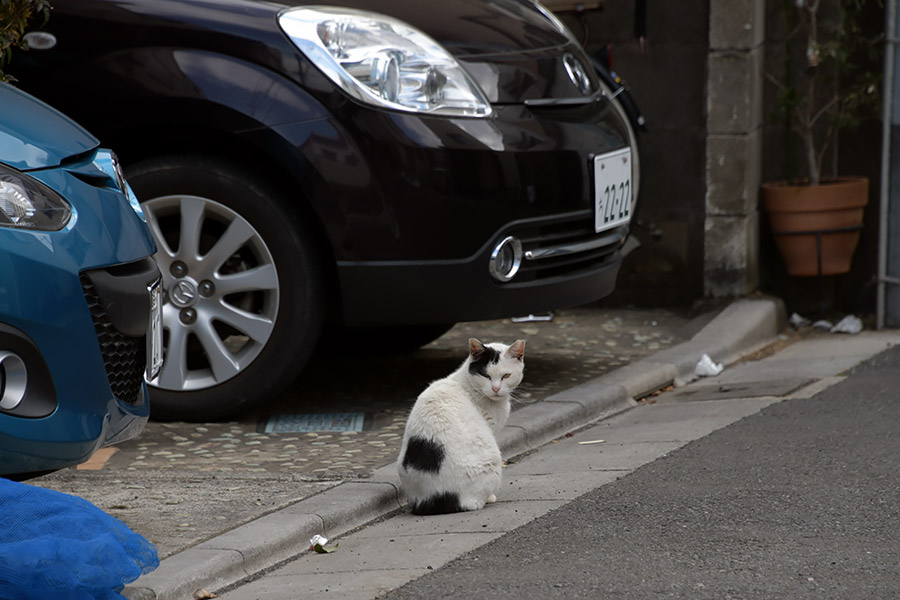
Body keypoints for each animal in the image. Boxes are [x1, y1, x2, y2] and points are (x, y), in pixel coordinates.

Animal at [396, 338, 528, 516]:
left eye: (506, 375)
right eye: (486, 375)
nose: (495, 389)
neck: (467, 383)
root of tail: (430, 500)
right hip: (492, 461)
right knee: (472, 503)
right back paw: (489, 498)